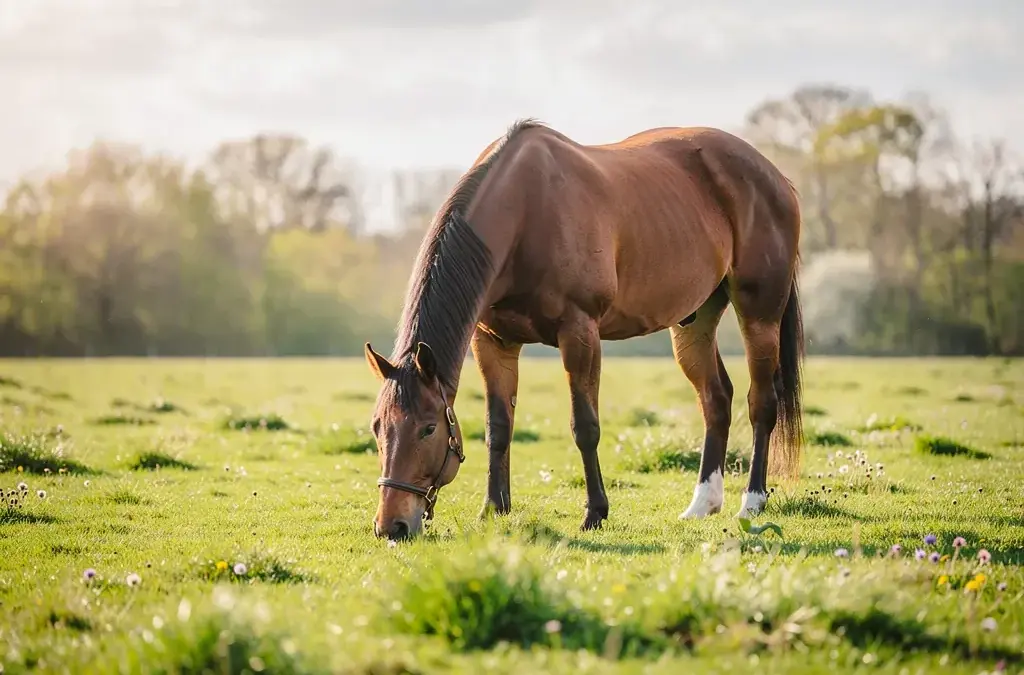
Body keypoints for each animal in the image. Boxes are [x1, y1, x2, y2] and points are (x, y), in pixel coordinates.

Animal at [365, 119, 804, 541]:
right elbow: (498, 428)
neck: (525, 212)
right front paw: (493, 509)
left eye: (428, 428)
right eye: (378, 426)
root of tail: (775, 176)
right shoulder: (493, 342)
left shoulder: (580, 333)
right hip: (695, 321)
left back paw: (752, 501)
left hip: (759, 316)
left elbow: (585, 427)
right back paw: (702, 504)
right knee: (716, 399)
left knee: (762, 402)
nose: (392, 526)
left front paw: (595, 513)